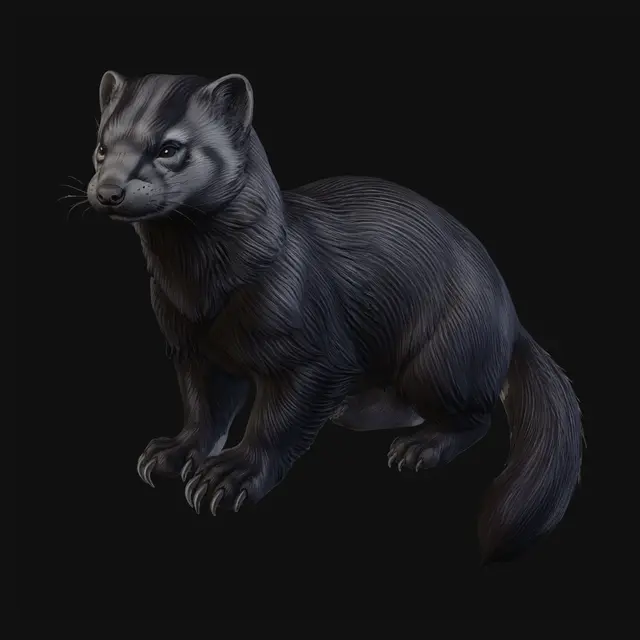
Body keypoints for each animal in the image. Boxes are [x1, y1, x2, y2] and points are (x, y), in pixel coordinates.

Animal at [86, 70, 582, 563]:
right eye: (101, 146)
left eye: (169, 147)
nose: (108, 190)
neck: (203, 299)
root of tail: (510, 316)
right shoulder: (189, 347)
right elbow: (202, 410)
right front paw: (172, 453)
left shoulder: (312, 350)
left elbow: (278, 420)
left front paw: (231, 474)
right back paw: (358, 409)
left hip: (444, 354)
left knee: (472, 415)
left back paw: (420, 447)